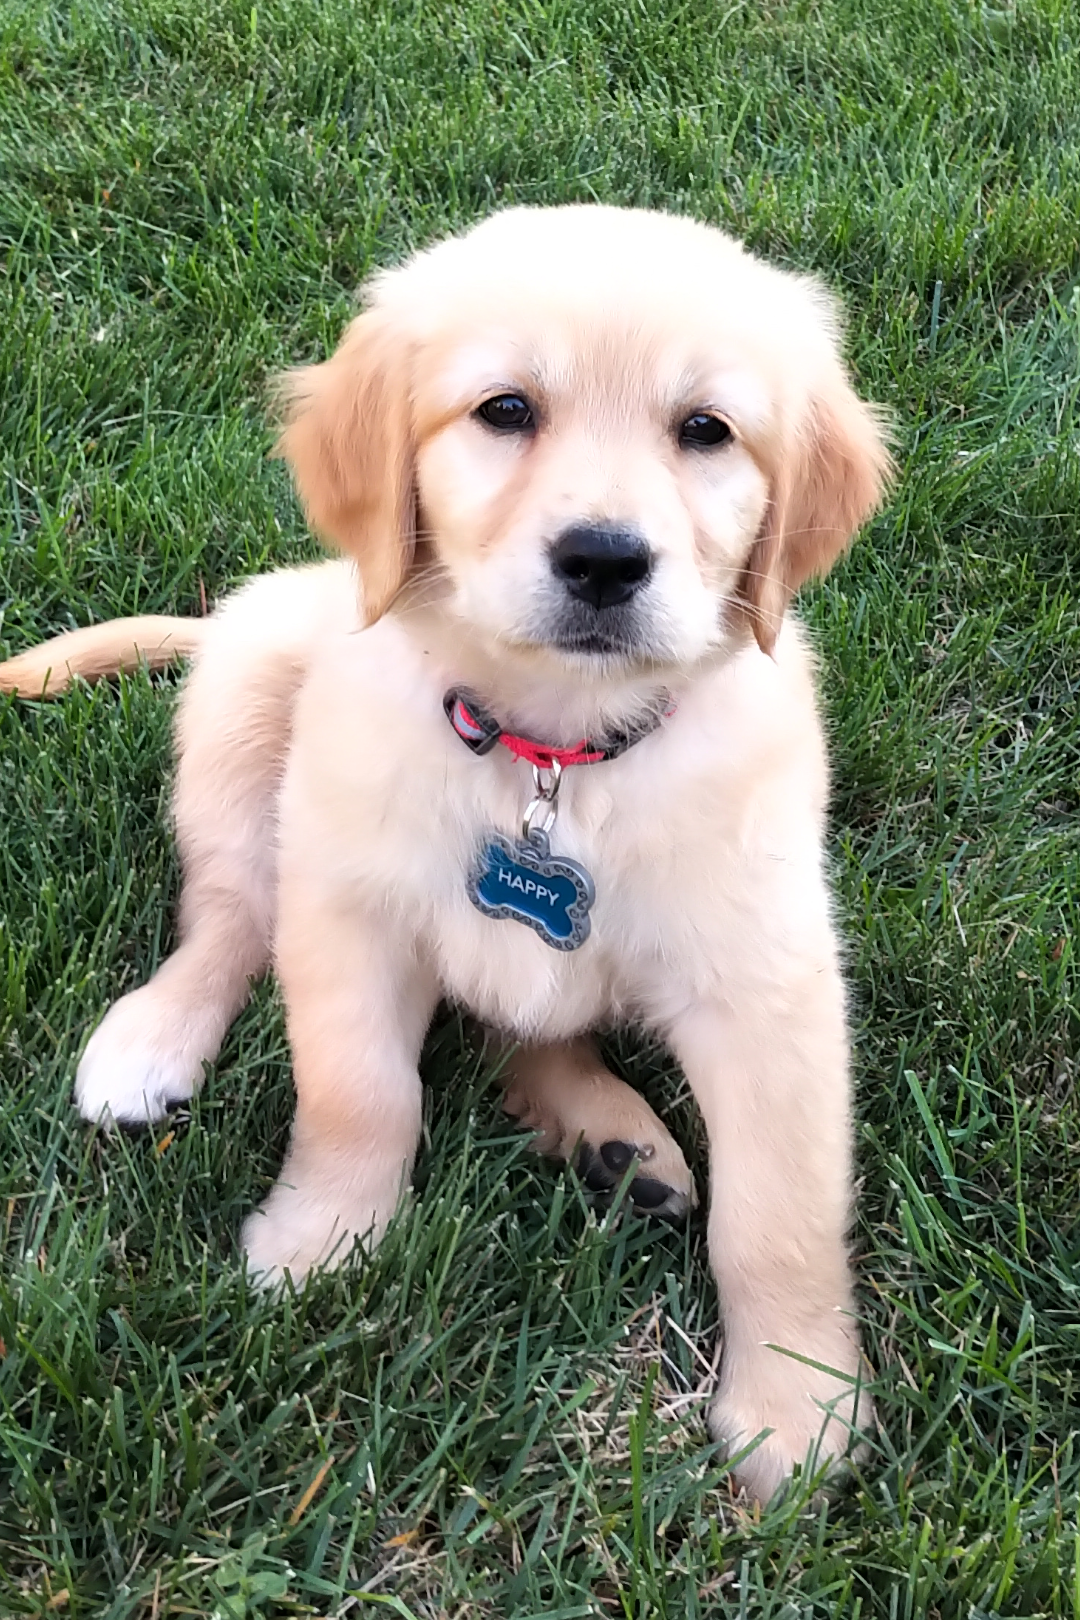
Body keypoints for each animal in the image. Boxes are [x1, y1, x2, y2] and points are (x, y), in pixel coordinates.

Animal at [0, 204, 891, 1502]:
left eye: (707, 431)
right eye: (505, 409)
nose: (605, 560)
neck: (553, 755)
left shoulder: (768, 980)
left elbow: (777, 1212)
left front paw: (798, 1406)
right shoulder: (348, 912)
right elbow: (360, 1095)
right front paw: (320, 1243)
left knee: (537, 1029)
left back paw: (616, 1140)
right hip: (247, 712)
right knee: (228, 916)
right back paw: (152, 1038)